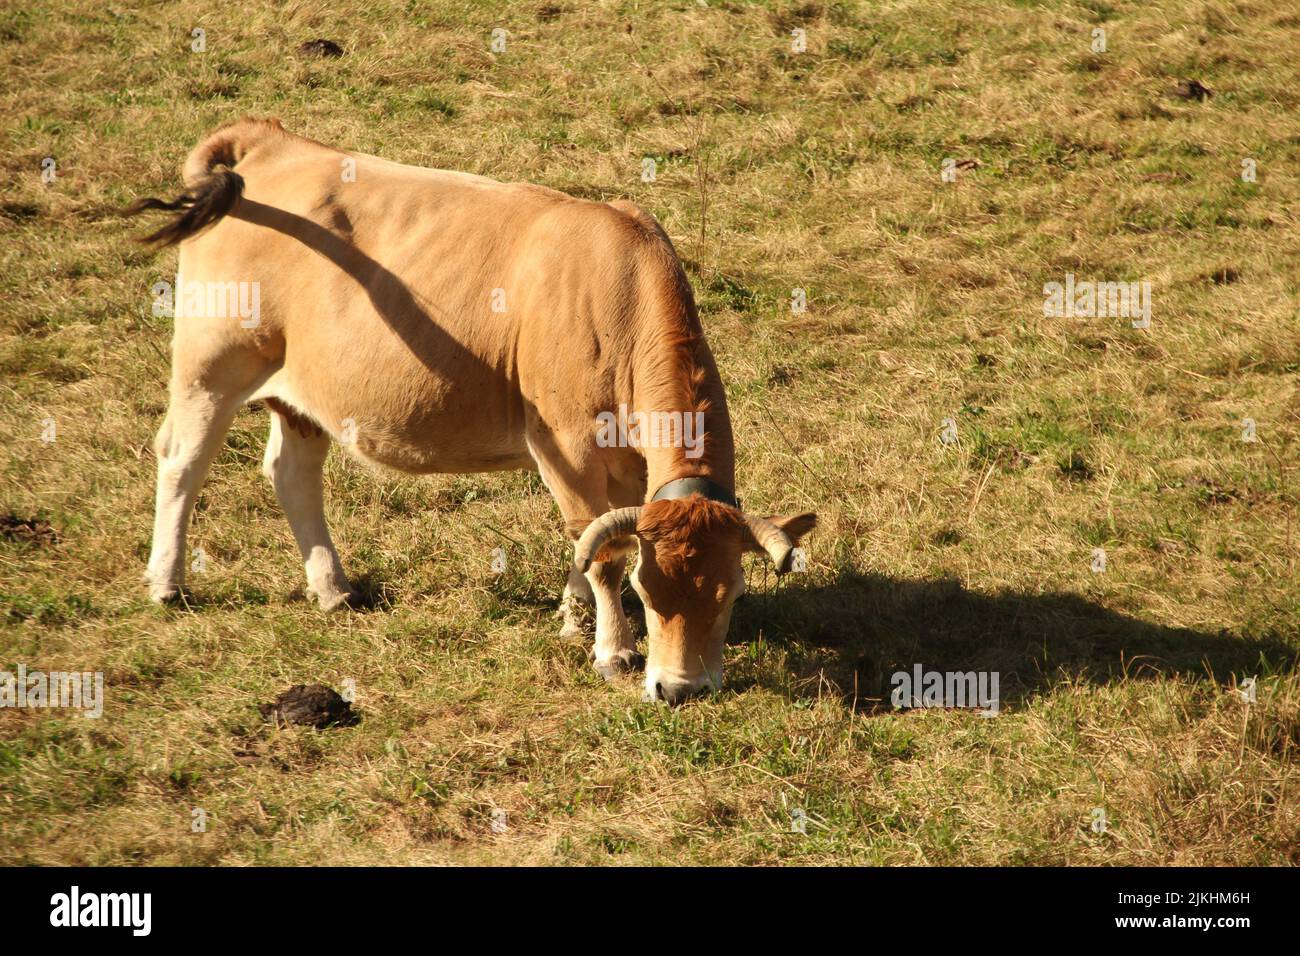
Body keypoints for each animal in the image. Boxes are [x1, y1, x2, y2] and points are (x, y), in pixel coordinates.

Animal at [126, 118, 816, 704]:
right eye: (650, 591)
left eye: (732, 594)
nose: (680, 689)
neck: (615, 296)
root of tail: (271, 141)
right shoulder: (565, 446)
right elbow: (601, 547)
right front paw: (612, 650)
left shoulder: (624, 466)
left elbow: (591, 537)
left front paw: (573, 619)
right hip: (212, 363)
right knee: (183, 461)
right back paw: (168, 582)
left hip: (302, 393)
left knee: (292, 472)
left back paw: (334, 589)